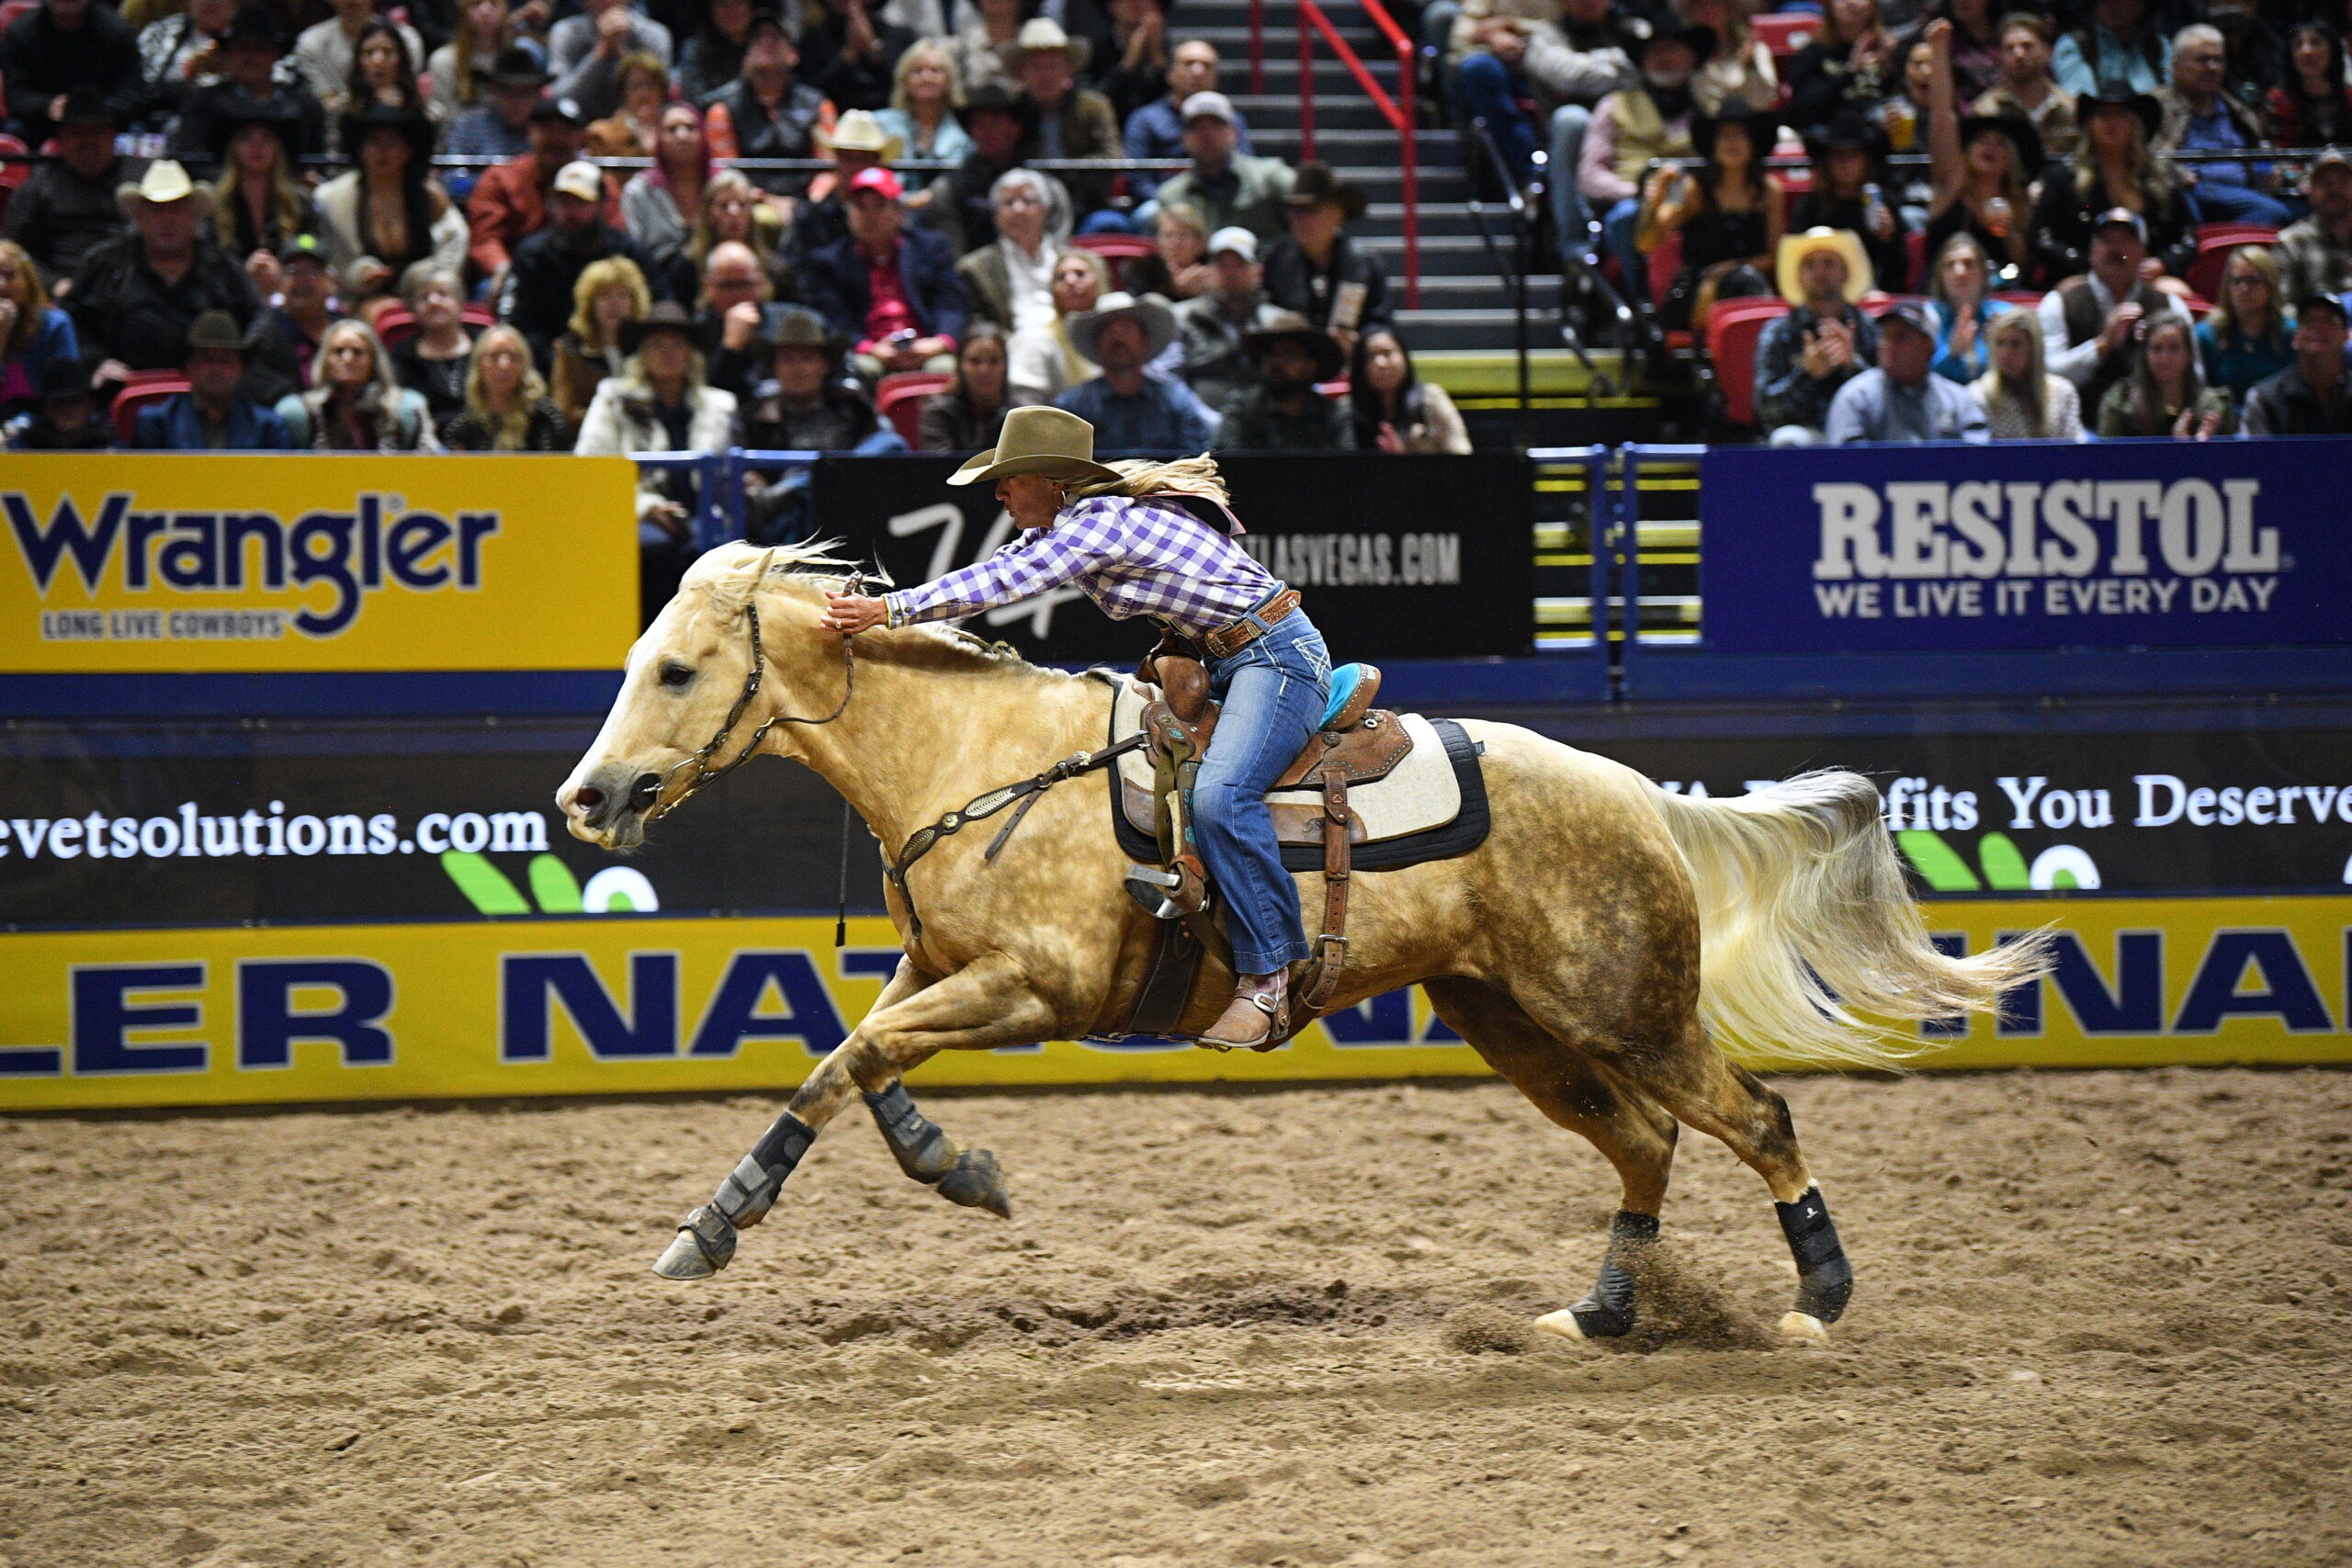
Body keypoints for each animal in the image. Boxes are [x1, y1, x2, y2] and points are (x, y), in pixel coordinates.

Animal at [557, 542, 2050, 1345]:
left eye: (677, 668)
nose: (586, 797)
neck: (978, 760)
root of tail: (1641, 794)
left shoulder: (1032, 987)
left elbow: (847, 1064)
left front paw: (731, 1224)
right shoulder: (944, 972)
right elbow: (856, 1062)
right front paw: (935, 1172)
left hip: (1626, 1012)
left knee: (1758, 1117)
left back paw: (1822, 1295)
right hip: (1512, 1020)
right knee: (1647, 1143)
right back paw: (1603, 1312)